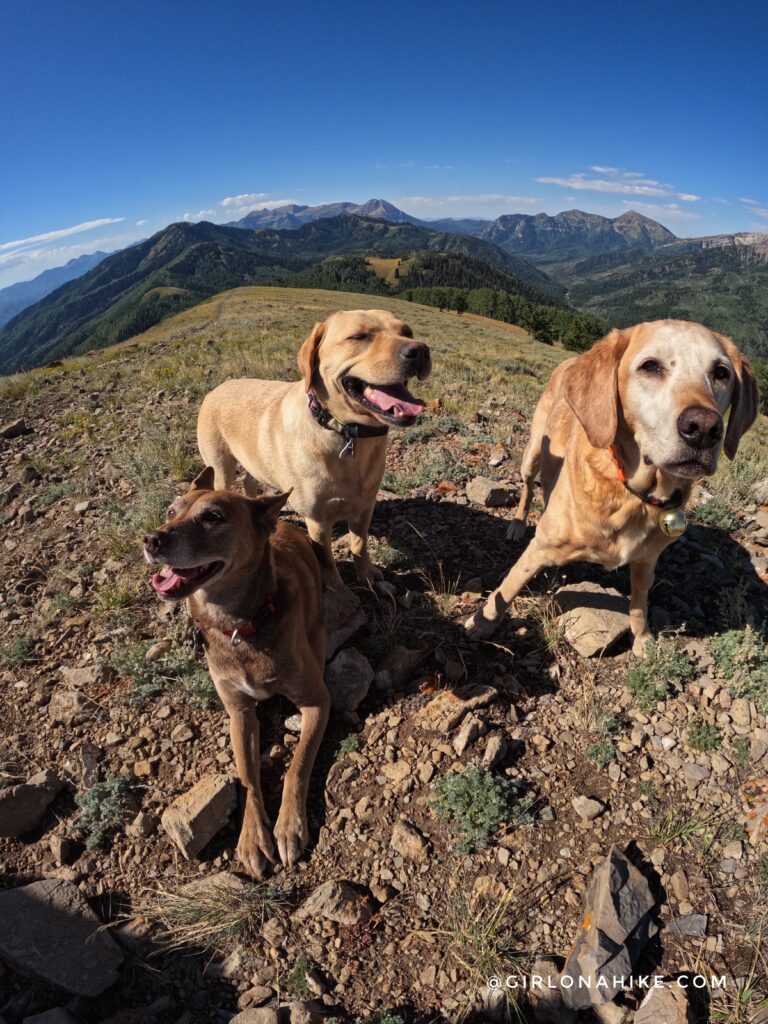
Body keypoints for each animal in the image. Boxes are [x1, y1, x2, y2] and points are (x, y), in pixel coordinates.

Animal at [143, 468, 329, 876]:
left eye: (213, 517)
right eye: (171, 511)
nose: (151, 539)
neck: (240, 626)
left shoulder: (318, 701)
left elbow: (296, 767)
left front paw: (288, 827)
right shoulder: (239, 712)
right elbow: (247, 776)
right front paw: (252, 836)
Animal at [196, 309, 434, 585]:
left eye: (407, 332)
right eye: (359, 336)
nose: (421, 350)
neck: (346, 432)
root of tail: (216, 388)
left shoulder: (365, 506)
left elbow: (359, 545)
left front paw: (366, 575)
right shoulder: (317, 521)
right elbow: (327, 564)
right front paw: (340, 588)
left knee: (249, 481)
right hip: (220, 466)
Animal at [466, 319, 761, 655]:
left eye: (721, 373)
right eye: (650, 366)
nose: (703, 428)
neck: (634, 493)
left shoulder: (646, 562)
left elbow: (639, 605)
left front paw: (643, 640)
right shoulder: (539, 548)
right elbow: (507, 588)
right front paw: (482, 624)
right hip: (533, 452)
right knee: (527, 487)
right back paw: (517, 525)